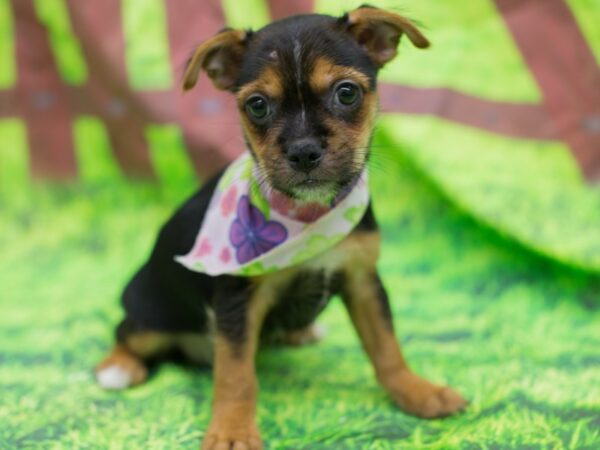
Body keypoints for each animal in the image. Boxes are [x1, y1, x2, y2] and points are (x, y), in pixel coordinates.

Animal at [96, 5, 466, 448]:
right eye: (257, 105)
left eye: (346, 93)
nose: (303, 151)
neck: (308, 217)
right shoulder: (236, 303)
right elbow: (236, 373)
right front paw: (232, 431)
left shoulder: (362, 279)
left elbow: (386, 346)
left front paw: (417, 392)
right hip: (151, 313)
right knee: (127, 330)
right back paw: (117, 368)